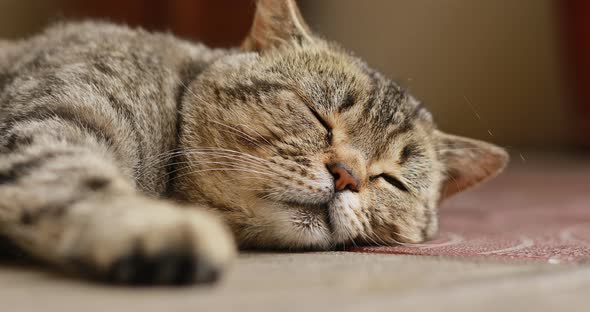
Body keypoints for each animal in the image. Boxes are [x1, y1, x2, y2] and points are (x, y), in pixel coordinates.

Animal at [0, 0, 508, 286]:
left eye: (391, 180)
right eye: (317, 115)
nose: (347, 176)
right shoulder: (49, 122)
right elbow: (72, 176)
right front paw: (159, 228)